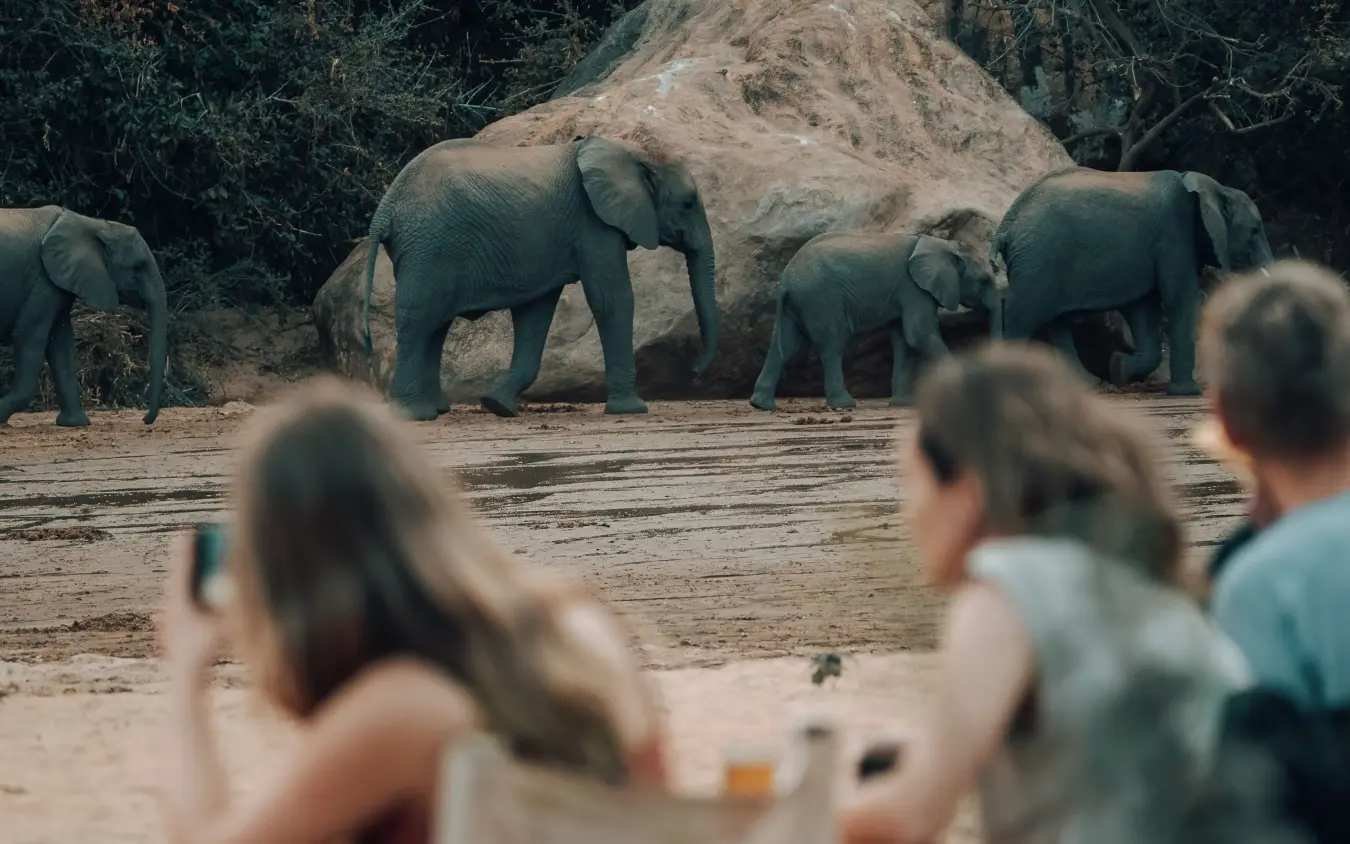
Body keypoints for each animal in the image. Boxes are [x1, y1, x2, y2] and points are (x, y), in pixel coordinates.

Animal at [0, 206, 167, 426]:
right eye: (138, 267)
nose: (144, 419)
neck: (92, 224)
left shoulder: (55, 282)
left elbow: (60, 343)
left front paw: (75, 423)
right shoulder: (43, 279)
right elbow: (28, 336)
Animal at [361, 135, 718, 421]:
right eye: (687, 204)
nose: (694, 373)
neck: (634, 150)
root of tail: (386, 207)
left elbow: (536, 314)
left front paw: (498, 405)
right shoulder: (593, 224)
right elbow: (611, 299)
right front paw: (632, 410)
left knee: (436, 325)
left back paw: (438, 409)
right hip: (429, 248)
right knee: (419, 321)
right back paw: (415, 415)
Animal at [748, 232, 1002, 411]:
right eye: (983, 280)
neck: (943, 244)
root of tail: (786, 279)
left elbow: (905, 341)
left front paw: (902, 404)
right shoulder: (913, 288)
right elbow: (918, 335)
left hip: (802, 303)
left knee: (785, 347)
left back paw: (761, 405)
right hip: (822, 300)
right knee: (832, 346)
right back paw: (844, 405)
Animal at [991, 166, 1274, 396]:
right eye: (1255, 230)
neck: (1215, 187)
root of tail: (1005, 227)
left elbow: (1143, 310)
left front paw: (1117, 368)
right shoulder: (1174, 234)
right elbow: (1179, 298)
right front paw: (1188, 393)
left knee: (1057, 324)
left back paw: (1085, 385)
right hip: (1037, 263)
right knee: (1022, 318)